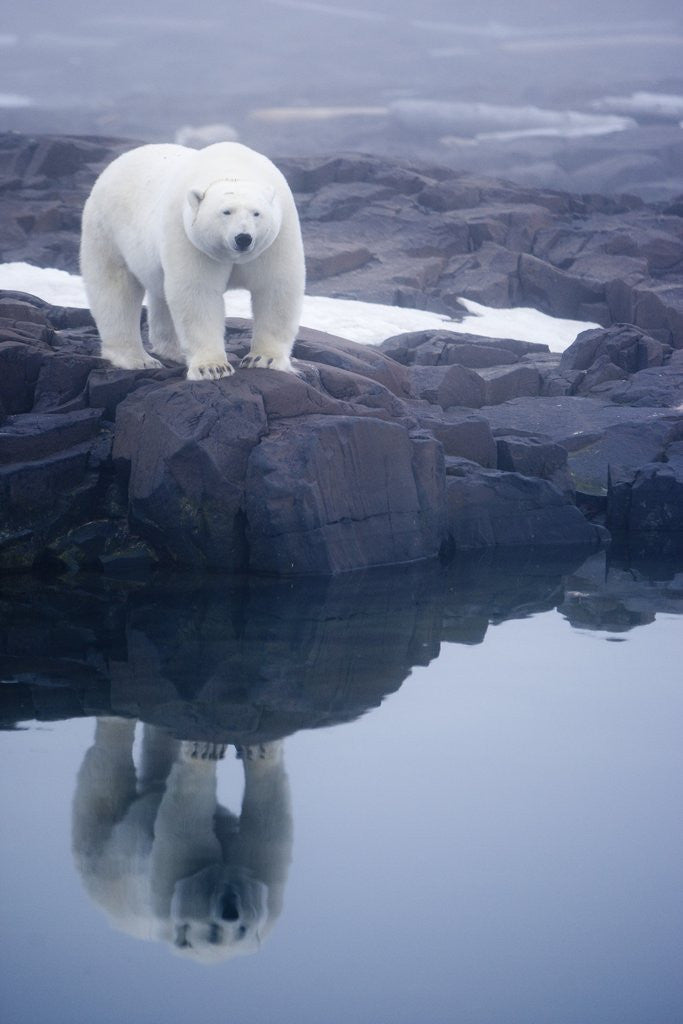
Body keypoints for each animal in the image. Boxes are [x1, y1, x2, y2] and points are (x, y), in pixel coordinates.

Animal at [71, 716, 290, 962]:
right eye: (212, 933)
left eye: (242, 930)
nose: (230, 911)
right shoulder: (168, 886)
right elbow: (186, 826)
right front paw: (204, 747)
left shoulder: (269, 892)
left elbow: (265, 831)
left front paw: (260, 748)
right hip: (103, 859)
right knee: (105, 776)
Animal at [80, 143, 305, 380]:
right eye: (226, 212)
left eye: (256, 213)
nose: (243, 238)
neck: (232, 166)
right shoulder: (189, 237)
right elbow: (197, 292)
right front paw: (213, 367)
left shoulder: (277, 236)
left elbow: (276, 287)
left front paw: (264, 359)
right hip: (106, 230)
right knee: (115, 289)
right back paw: (137, 359)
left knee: (159, 293)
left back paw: (174, 351)